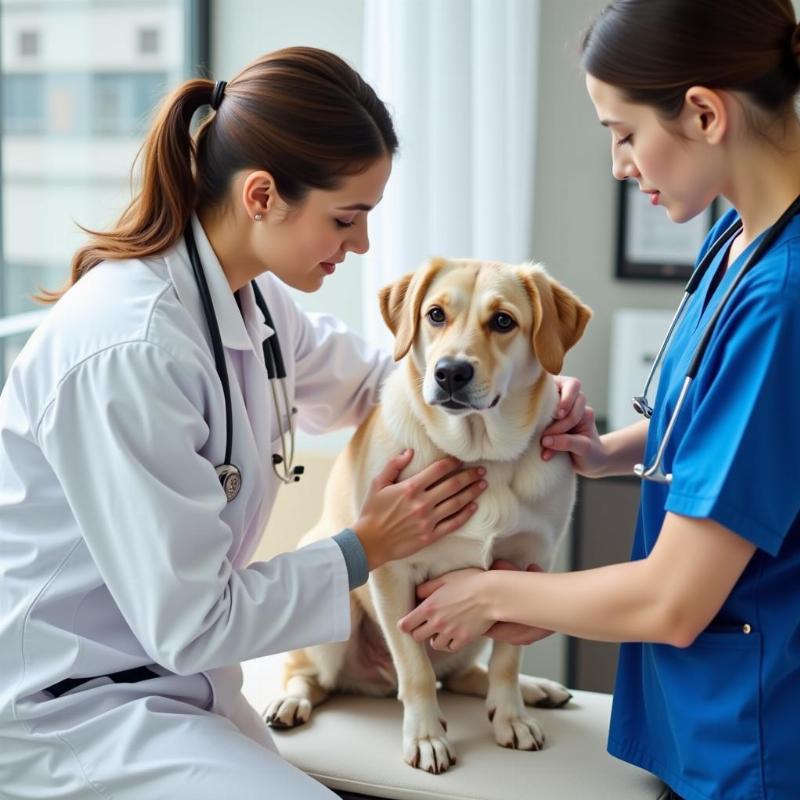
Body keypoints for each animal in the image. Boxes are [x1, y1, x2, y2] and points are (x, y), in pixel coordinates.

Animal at [266, 260, 592, 772]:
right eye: (435, 314)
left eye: (503, 321)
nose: (451, 372)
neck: (482, 453)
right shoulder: (393, 575)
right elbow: (415, 671)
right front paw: (425, 736)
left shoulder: (524, 568)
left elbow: (506, 660)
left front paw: (512, 716)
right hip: (335, 623)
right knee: (310, 675)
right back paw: (290, 700)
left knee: (465, 675)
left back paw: (535, 691)